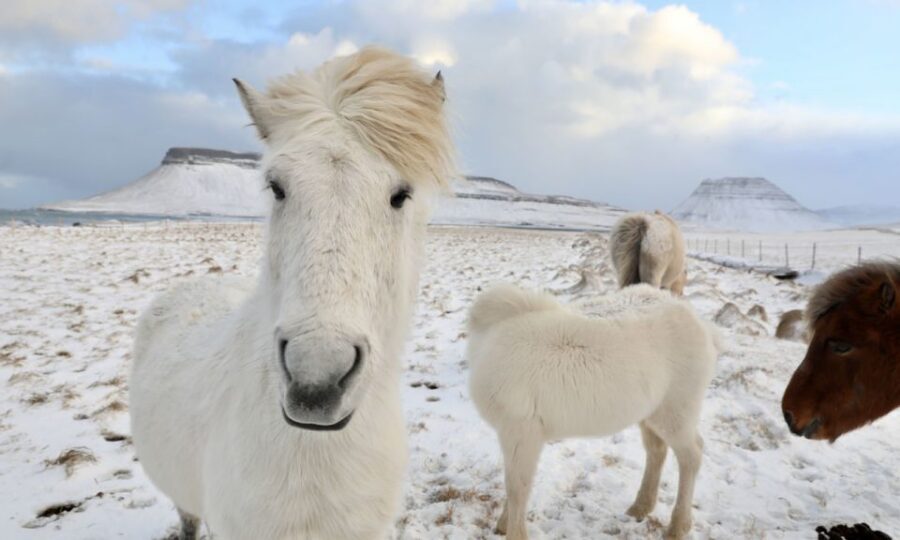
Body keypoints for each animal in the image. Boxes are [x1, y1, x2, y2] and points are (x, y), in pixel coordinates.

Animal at [467, 283, 719, 539]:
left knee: (692, 455)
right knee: (657, 451)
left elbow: (517, 487)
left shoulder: (520, 431)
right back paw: (641, 506)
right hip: (651, 414)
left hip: (676, 411)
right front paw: (502, 524)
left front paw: (512, 530)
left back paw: (678, 526)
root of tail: (697, 322)